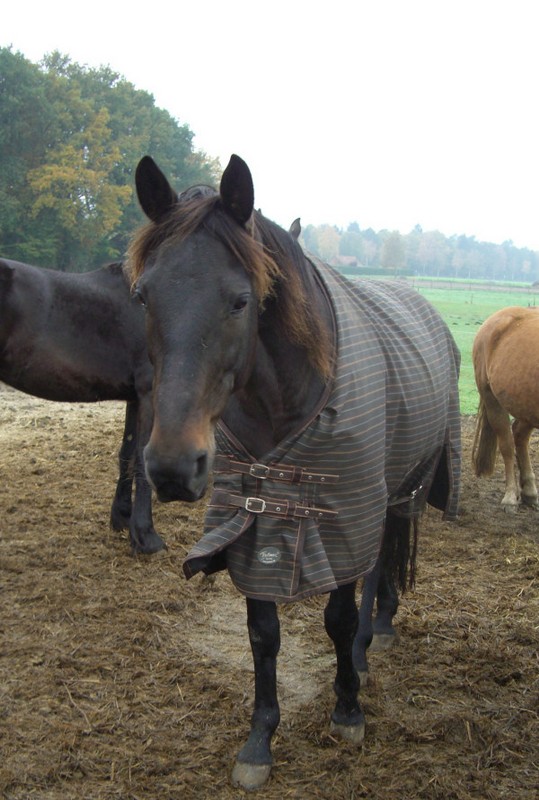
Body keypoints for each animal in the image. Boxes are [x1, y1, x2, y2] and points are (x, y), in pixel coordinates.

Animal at [0, 258, 165, 554]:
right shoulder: (149, 391)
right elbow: (141, 457)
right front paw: (145, 537)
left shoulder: (135, 397)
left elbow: (128, 454)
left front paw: (122, 518)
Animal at [128, 154, 461, 789]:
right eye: (142, 297)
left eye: (240, 301)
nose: (174, 466)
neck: (283, 401)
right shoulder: (250, 517)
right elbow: (263, 635)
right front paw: (260, 739)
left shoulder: (341, 513)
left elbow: (338, 615)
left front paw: (347, 709)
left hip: (402, 487)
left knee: (381, 560)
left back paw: (372, 639)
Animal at [472, 305, 539, 511]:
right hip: (493, 401)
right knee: (507, 444)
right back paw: (511, 496)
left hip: (527, 406)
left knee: (519, 436)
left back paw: (530, 492)